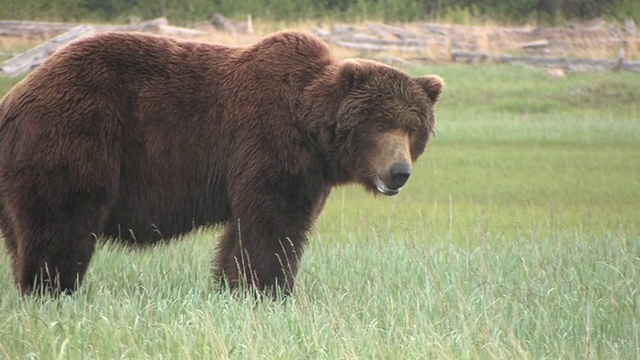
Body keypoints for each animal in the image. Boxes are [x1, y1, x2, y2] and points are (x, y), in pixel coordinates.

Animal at [0, 31, 440, 296]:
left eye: (413, 128)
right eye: (380, 124)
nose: (399, 173)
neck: (313, 132)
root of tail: (15, 98)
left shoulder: (309, 173)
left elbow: (247, 236)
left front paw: (233, 287)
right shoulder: (267, 142)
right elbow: (272, 225)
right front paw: (267, 290)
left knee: (23, 234)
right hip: (77, 134)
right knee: (62, 222)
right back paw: (51, 289)